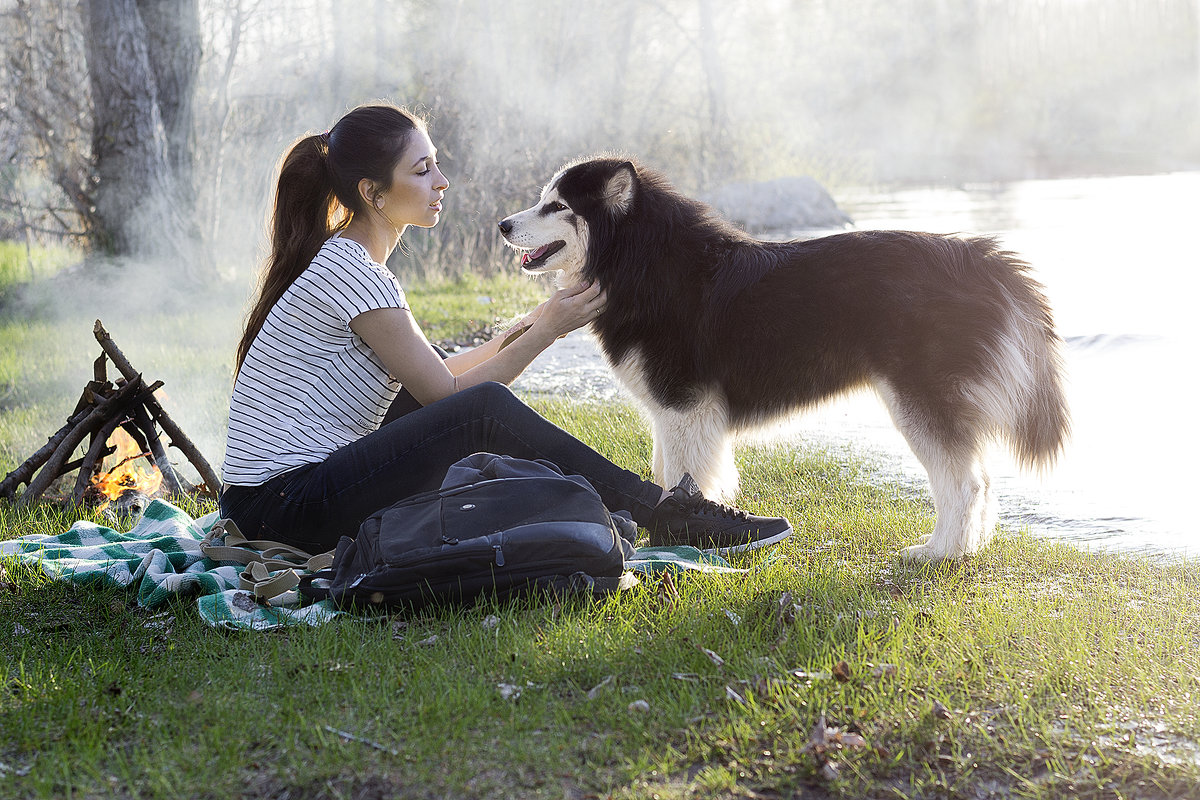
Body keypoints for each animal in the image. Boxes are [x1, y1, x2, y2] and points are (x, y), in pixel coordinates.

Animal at [496, 153, 1070, 561]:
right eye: (543, 200)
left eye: (558, 206)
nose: (501, 225)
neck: (638, 262)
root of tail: (980, 256)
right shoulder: (670, 413)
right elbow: (661, 476)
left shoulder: (684, 408)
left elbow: (680, 479)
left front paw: (678, 539)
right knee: (979, 481)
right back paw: (965, 548)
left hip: (918, 402)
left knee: (966, 483)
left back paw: (939, 552)